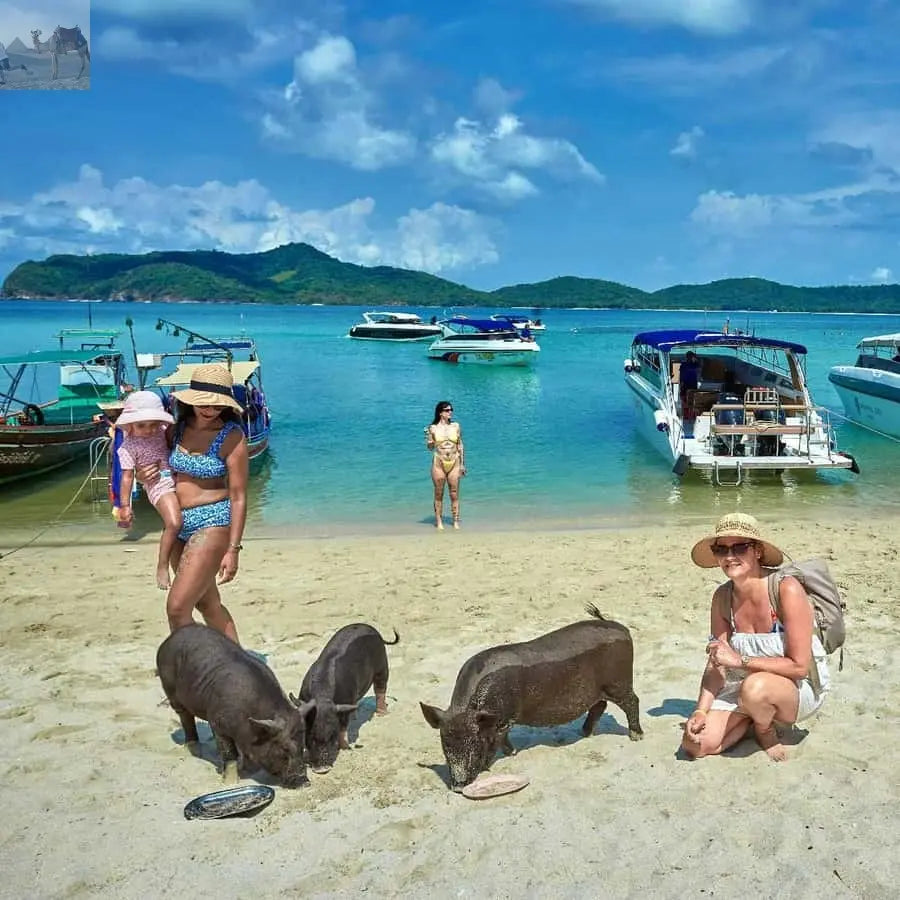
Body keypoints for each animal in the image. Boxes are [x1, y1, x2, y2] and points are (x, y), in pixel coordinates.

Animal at [156, 623, 314, 788]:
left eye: (303, 745)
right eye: (285, 748)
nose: (304, 782)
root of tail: (169, 639)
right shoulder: (218, 724)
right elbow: (228, 753)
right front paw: (230, 783)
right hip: (170, 689)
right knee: (185, 716)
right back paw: (193, 748)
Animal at [290, 623, 399, 774]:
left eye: (332, 736)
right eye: (309, 735)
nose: (321, 769)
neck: (323, 698)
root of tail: (372, 629)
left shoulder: (345, 703)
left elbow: (343, 727)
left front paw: (346, 748)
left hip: (382, 665)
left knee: (380, 688)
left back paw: (382, 713)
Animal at [420, 605, 642, 790]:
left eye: (473, 740)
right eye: (445, 743)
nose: (458, 786)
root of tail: (622, 629)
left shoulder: (504, 719)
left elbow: (498, 740)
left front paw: (506, 756)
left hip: (619, 683)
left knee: (632, 701)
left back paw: (636, 736)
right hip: (601, 690)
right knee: (599, 706)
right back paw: (584, 733)